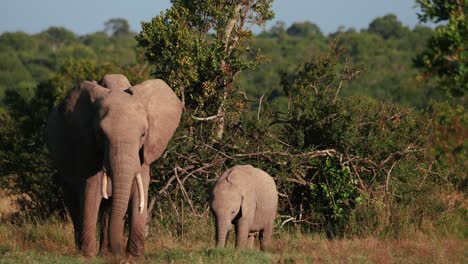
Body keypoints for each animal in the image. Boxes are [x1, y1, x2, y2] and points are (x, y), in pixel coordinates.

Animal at [44, 73, 182, 256]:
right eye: (100, 134)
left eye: (143, 134)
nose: (120, 253)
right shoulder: (87, 145)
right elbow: (91, 190)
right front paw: (88, 256)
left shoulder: (143, 153)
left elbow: (140, 188)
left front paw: (135, 257)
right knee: (74, 202)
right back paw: (83, 250)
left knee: (107, 209)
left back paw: (105, 253)